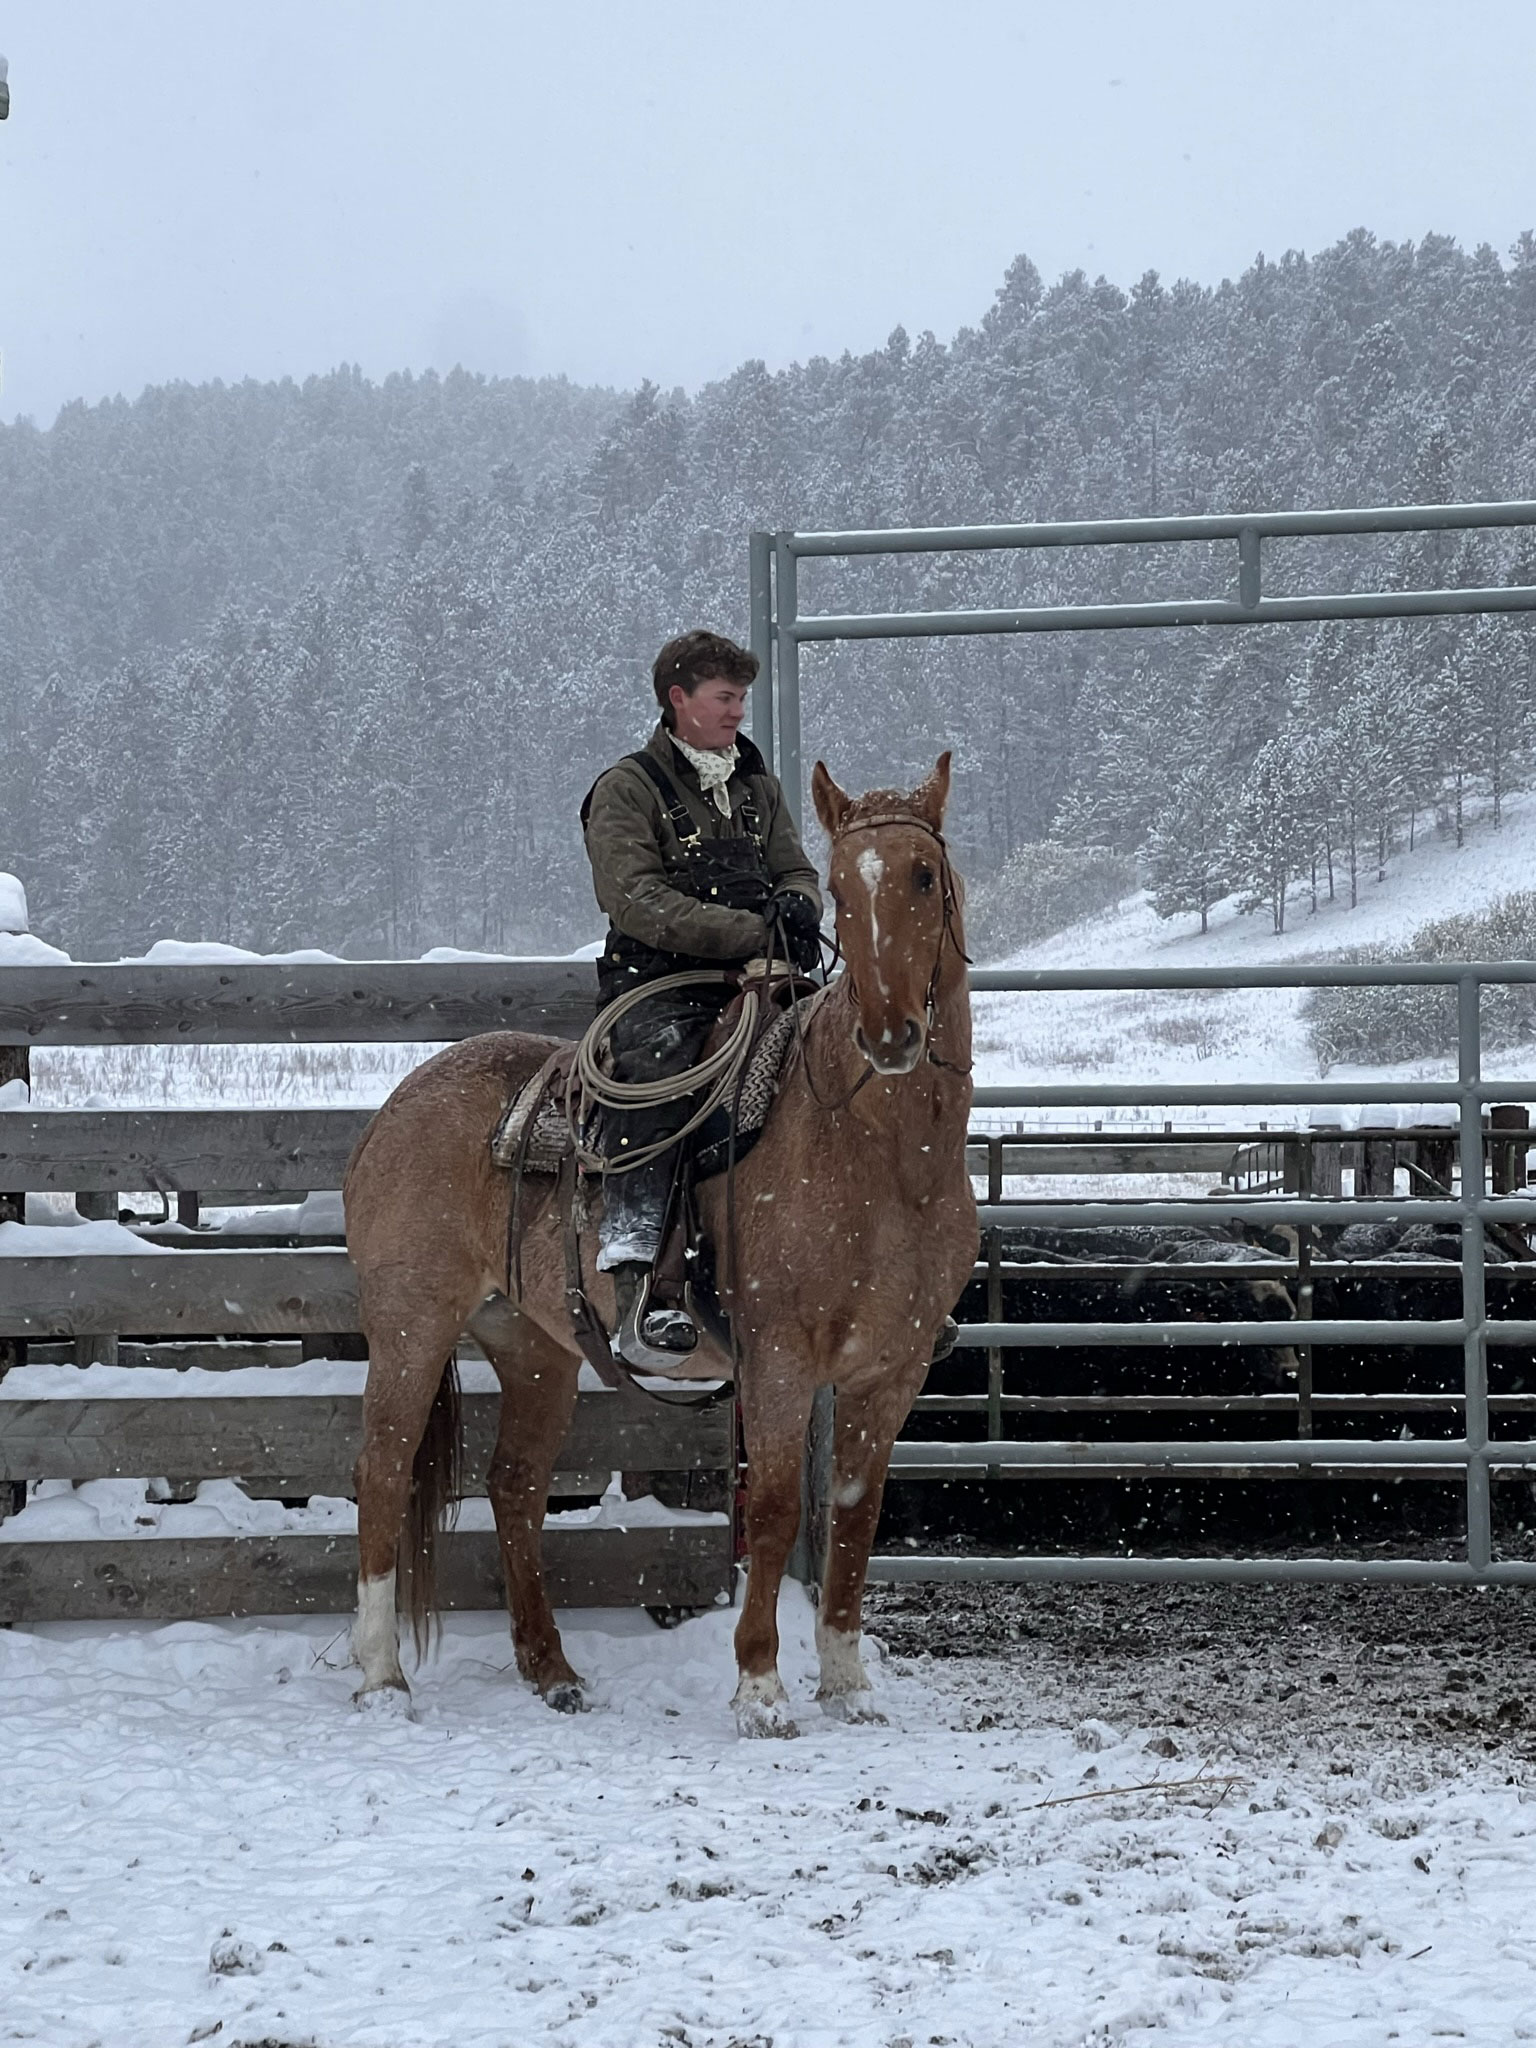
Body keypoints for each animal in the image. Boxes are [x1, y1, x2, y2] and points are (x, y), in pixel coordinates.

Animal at [343, 751, 977, 1735]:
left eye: (922, 875)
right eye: (838, 889)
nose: (890, 1033)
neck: (877, 1152)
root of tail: (397, 1106)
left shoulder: (893, 1369)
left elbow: (855, 1512)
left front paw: (846, 1684)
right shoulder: (779, 1363)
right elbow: (778, 1511)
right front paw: (761, 1689)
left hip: (534, 1349)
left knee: (514, 1486)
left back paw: (552, 1669)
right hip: (410, 1328)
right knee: (382, 1471)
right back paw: (382, 1677)